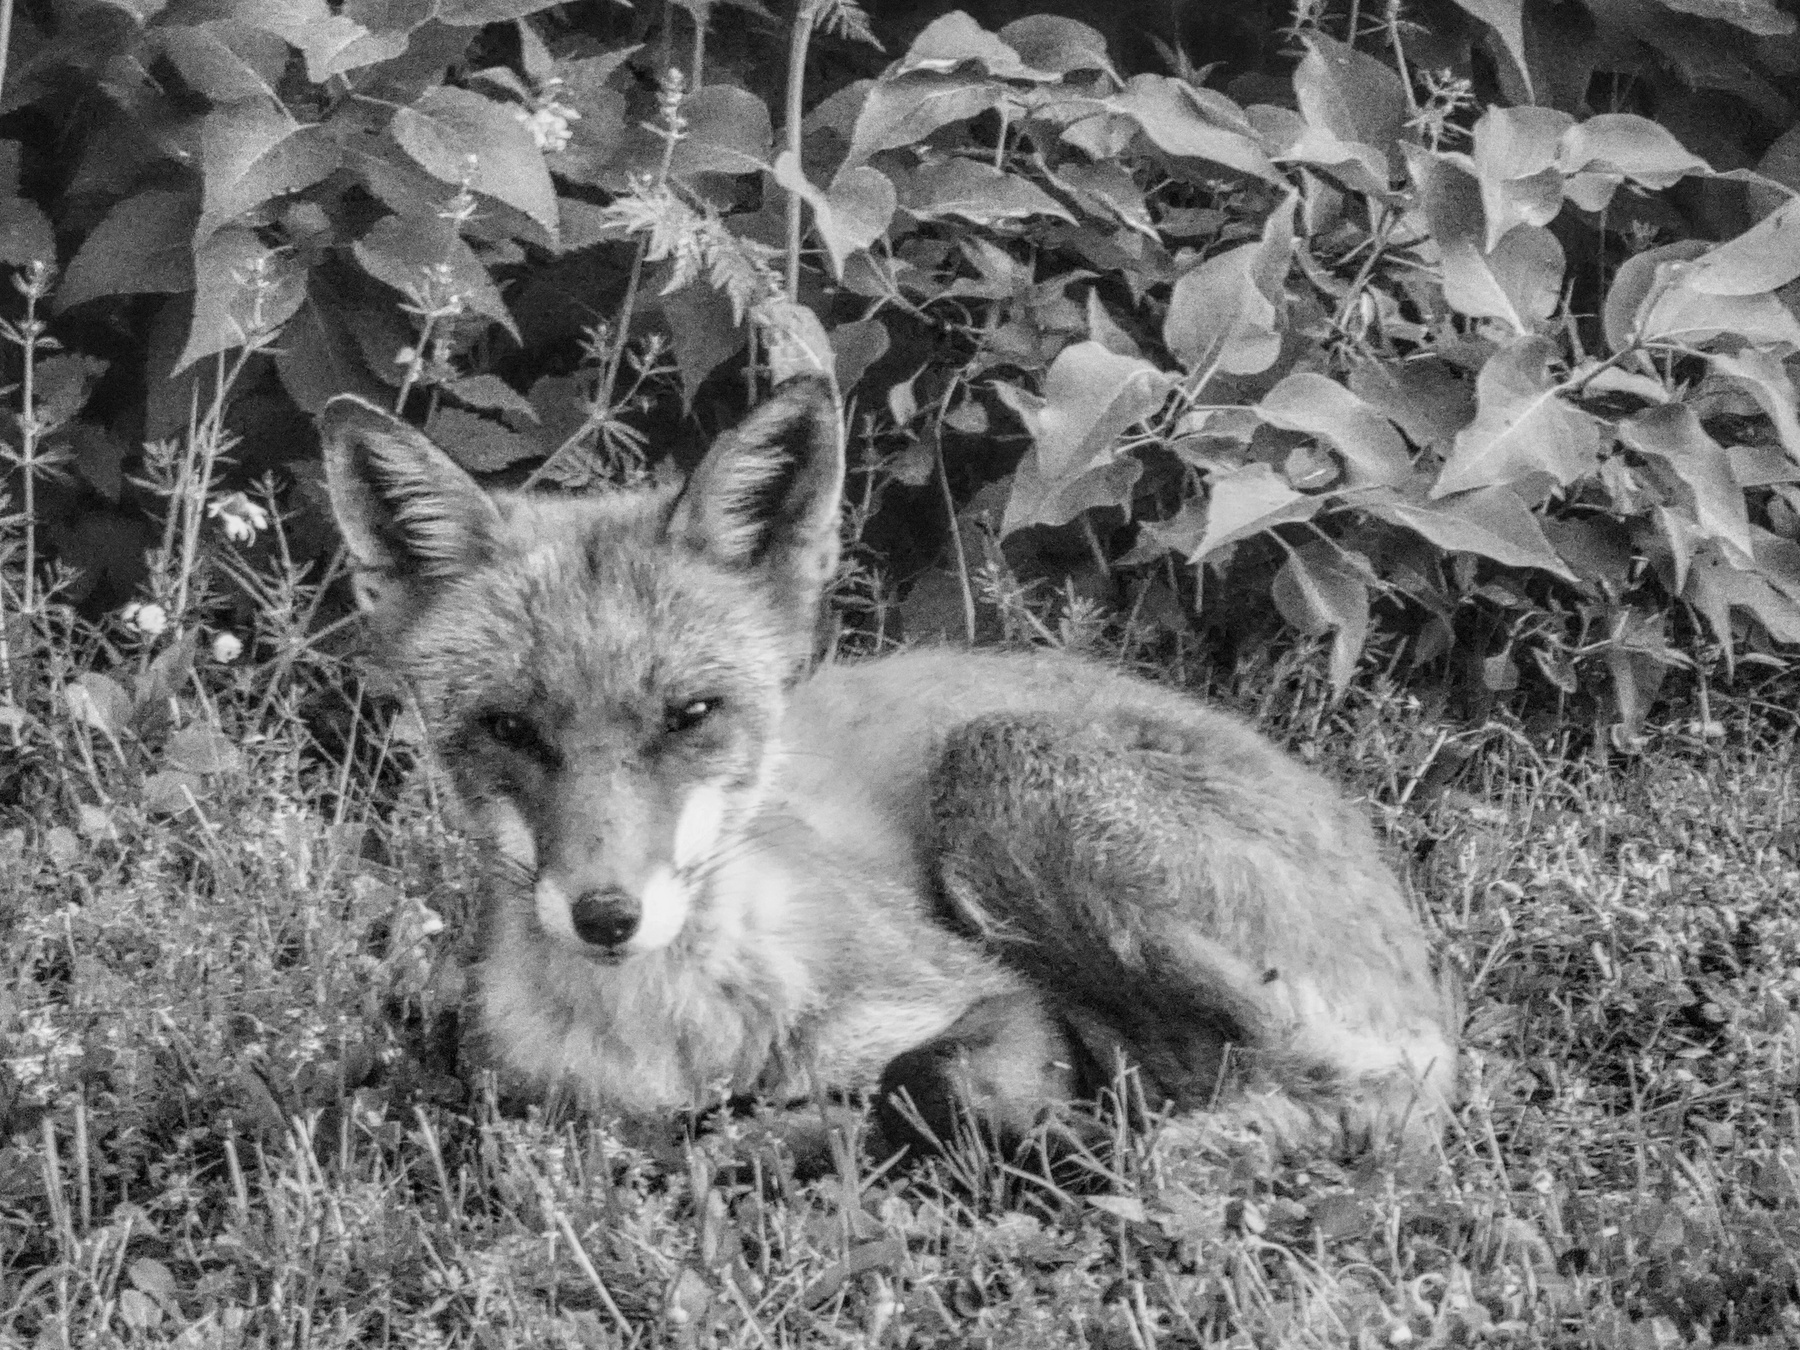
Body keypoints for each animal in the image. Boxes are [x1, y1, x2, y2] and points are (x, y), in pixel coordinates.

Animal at [320, 375, 1458, 1163]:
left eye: (692, 716)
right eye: (510, 730)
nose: (607, 915)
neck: (679, 1042)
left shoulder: (997, 1005)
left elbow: (927, 1085)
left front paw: (818, 1134)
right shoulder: (525, 1103)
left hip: (1002, 771)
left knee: (1356, 1100)